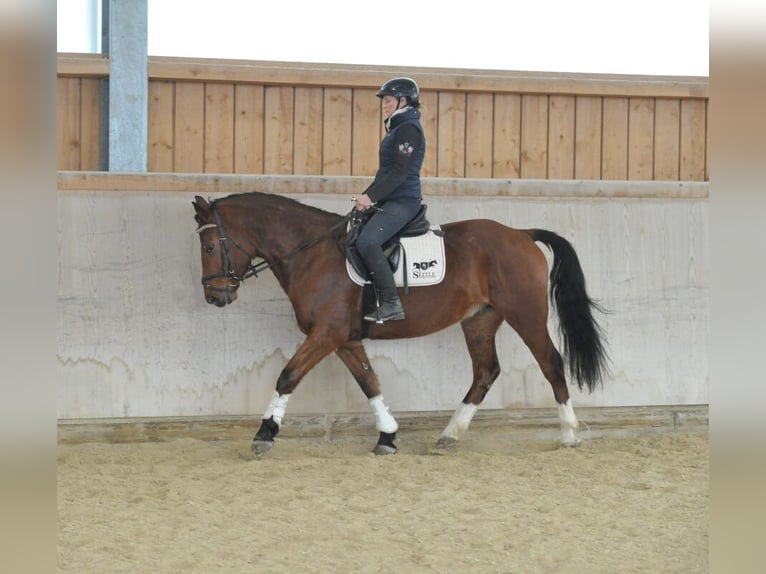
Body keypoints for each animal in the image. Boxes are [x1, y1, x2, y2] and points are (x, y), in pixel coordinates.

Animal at [192, 192, 609, 456]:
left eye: (210, 247)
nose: (214, 296)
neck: (311, 253)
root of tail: (521, 234)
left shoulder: (325, 334)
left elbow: (288, 376)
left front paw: (264, 435)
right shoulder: (344, 338)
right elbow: (370, 383)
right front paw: (387, 437)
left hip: (526, 315)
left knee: (551, 363)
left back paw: (568, 435)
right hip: (479, 320)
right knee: (485, 372)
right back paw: (449, 436)